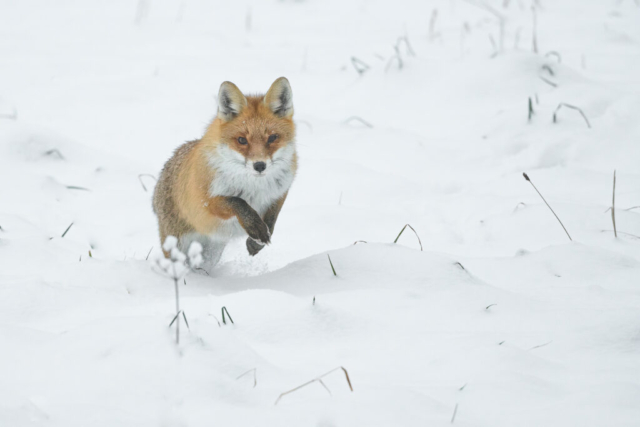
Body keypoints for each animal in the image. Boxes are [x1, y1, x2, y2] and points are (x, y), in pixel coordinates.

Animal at [152, 77, 297, 273]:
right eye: (242, 140)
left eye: (272, 138)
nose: (259, 165)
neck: (255, 187)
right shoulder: (207, 202)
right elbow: (238, 202)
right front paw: (255, 227)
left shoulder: (280, 192)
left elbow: (272, 219)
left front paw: (257, 241)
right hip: (178, 245)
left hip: (211, 252)